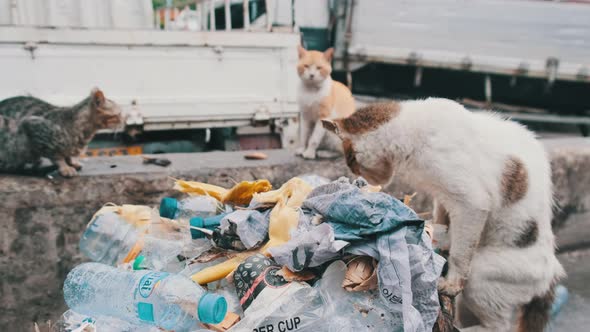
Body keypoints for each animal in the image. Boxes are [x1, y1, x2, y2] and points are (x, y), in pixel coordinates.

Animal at [324, 99, 568, 332]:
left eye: (351, 159)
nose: (353, 172)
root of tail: (553, 273)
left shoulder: (471, 203)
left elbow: (460, 254)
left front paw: (450, 283)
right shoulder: (443, 197)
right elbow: (442, 218)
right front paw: (436, 237)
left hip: (481, 275)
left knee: (498, 326)